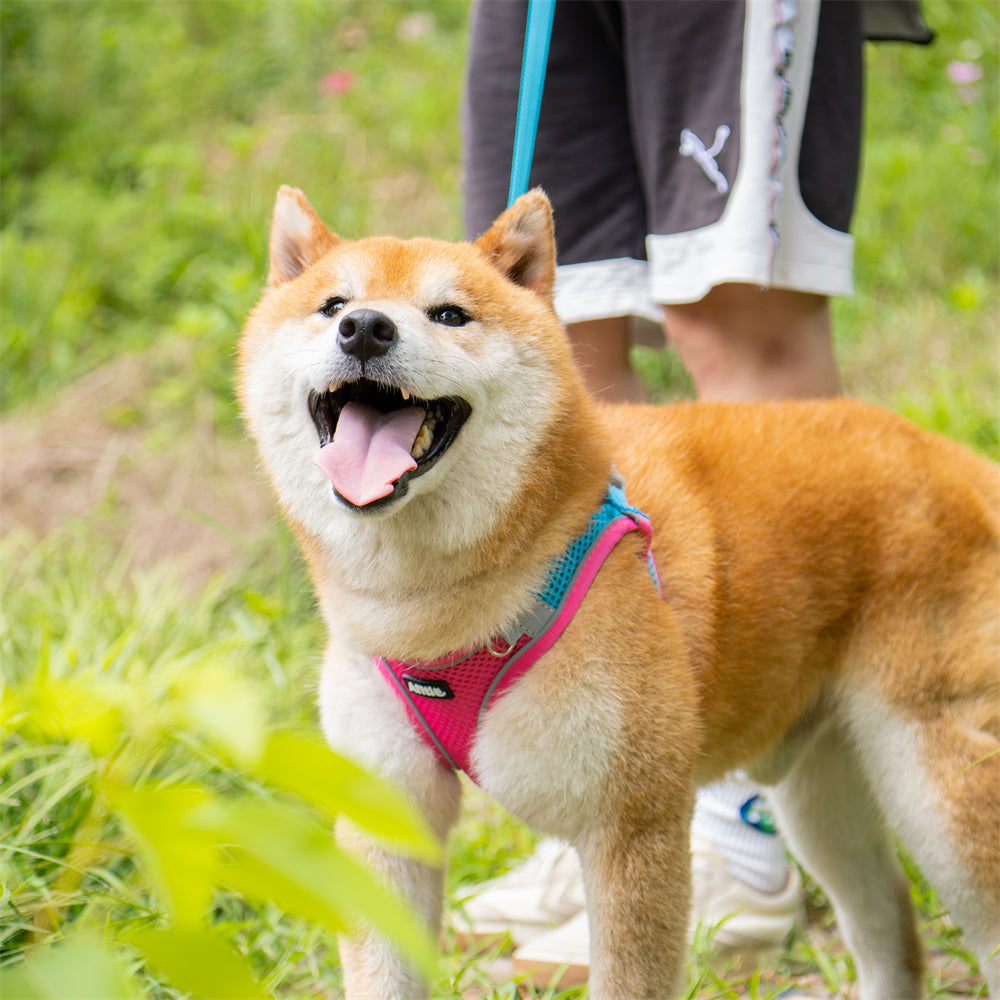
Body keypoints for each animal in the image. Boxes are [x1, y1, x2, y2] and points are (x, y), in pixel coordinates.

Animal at [238, 189, 996, 1000]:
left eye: (448, 314)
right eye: (333, 304)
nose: (366, 328)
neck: (441, 616)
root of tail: (949, 454)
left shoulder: (634, 829)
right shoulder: (386, 819)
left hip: (936, 794)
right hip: (822, 794)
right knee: (890, 932)